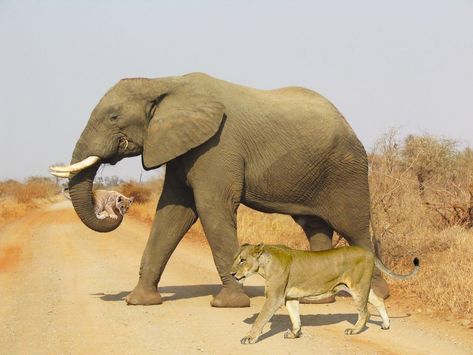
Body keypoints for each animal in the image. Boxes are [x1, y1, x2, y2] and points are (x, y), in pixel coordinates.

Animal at [50, 71, 388, 306]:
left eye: (113, 117)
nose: (117, 208)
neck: (164, 81)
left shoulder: (217, 147)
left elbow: (212, 209)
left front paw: (229, 304)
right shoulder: (181, 147)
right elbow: (172, 213)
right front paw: (139, 301)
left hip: (347, 169)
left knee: (354, 227)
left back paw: (376, 295)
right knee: (315, 226)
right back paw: (317, 300)